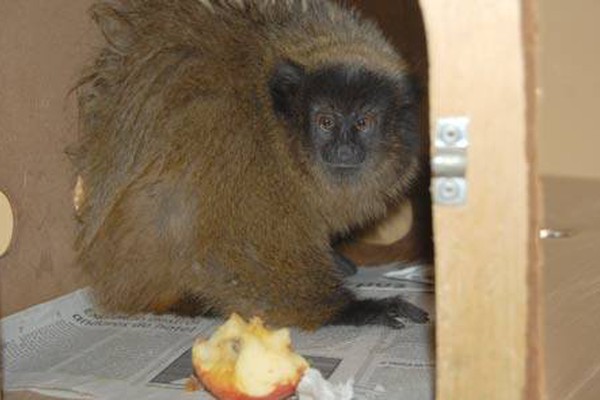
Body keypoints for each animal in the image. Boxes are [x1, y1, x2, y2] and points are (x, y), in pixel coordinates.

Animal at [69, 0, 426, 330]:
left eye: (364, 122)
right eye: (325, 121)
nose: (344, 148)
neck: (279, 134)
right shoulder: (240, 145)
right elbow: (227, 250)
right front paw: (355, 310)